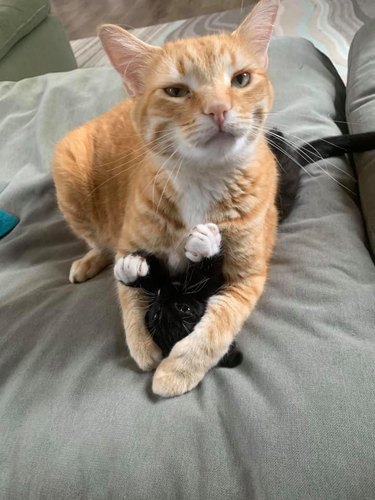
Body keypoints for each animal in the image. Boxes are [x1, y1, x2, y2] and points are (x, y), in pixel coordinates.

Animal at [54, 0, 280, 398]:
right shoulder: (130, 242)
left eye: (240, 79)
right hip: (68, 171)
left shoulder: (247, 277)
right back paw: (89, 259)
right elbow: (129, 299)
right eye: (176, 91)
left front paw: (177, 370)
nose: (218, 108)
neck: (202, 177)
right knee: (98, 242)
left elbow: (219, 322)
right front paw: (143, 344)